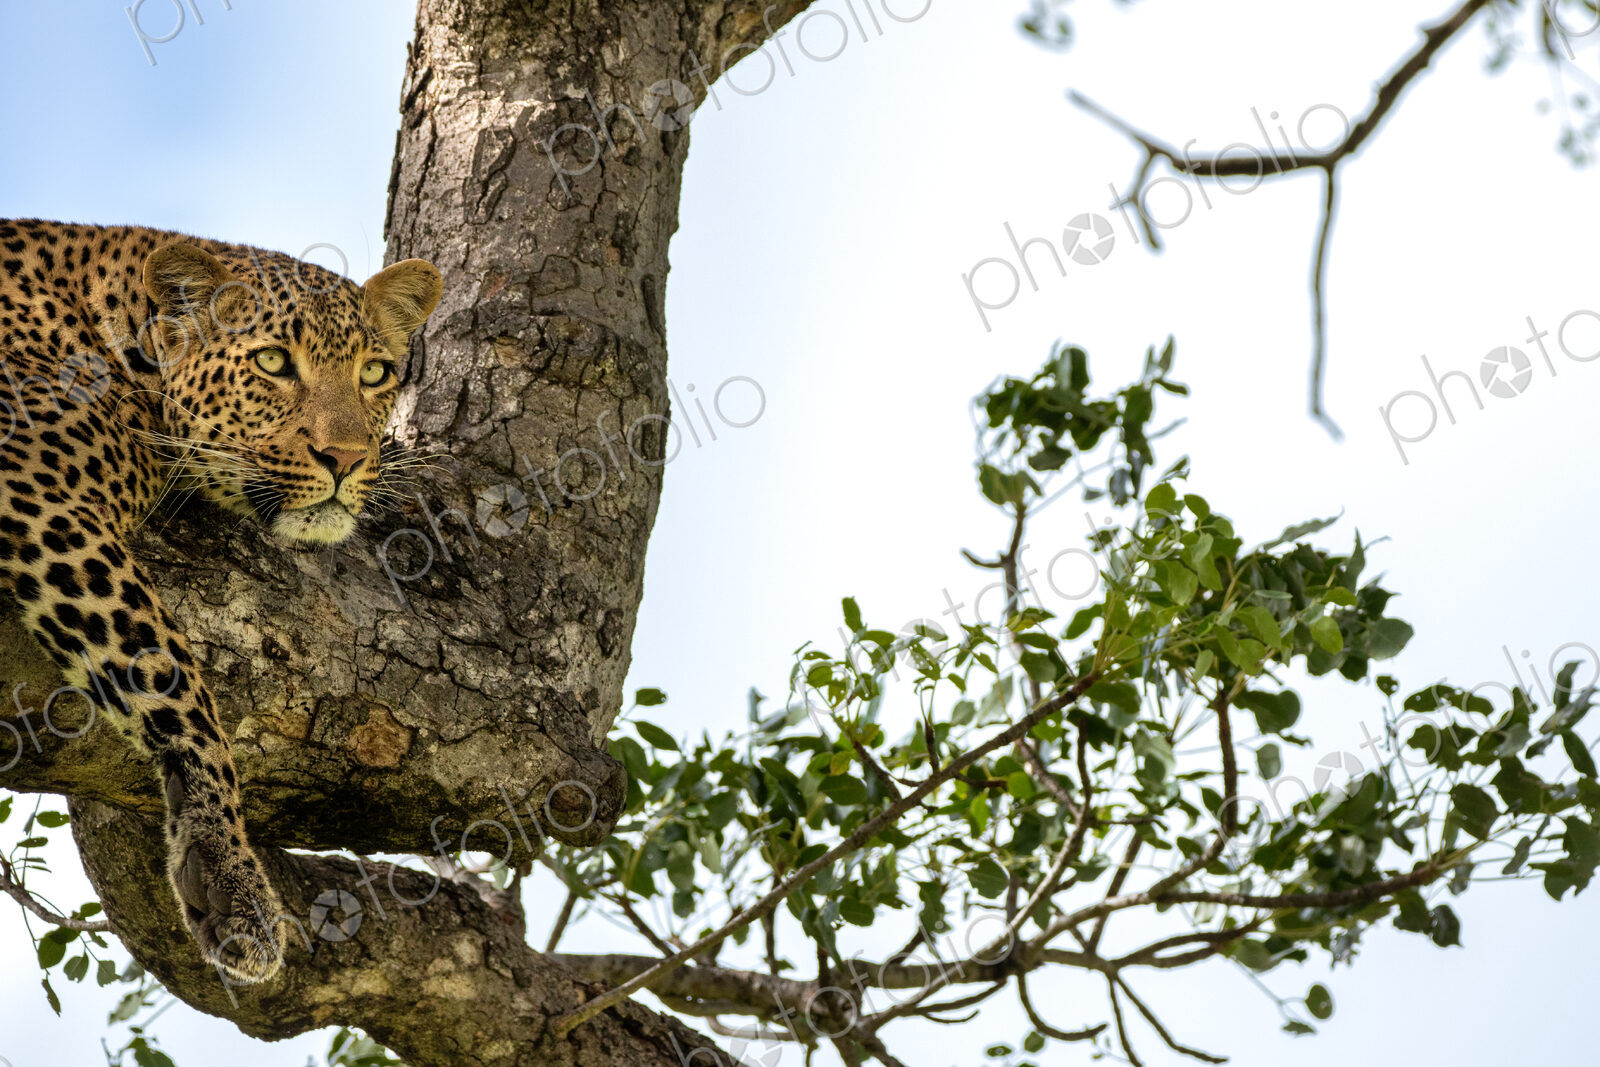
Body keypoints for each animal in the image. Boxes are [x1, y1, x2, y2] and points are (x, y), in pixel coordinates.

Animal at [0, 219, 442, 982]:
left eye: (375, 373)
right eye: (272, 361)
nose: (347, 458)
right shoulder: (34, 490)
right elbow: (171, 677)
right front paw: (227, 873)